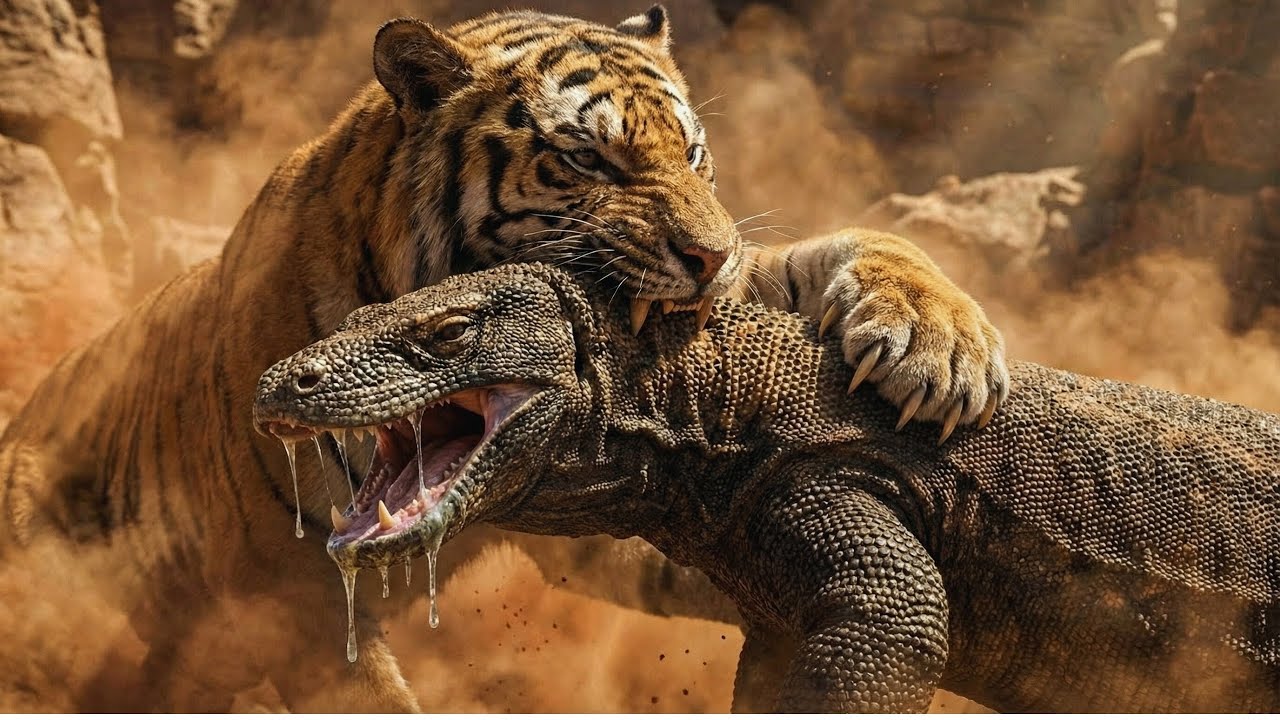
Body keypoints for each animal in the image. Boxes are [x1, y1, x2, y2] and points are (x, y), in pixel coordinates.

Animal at [0, 5, 1007, 712]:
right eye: (591, 160)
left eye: (694, 156)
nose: (712, 256)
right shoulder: (293, 586)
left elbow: (856, 248)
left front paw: (940, 345)